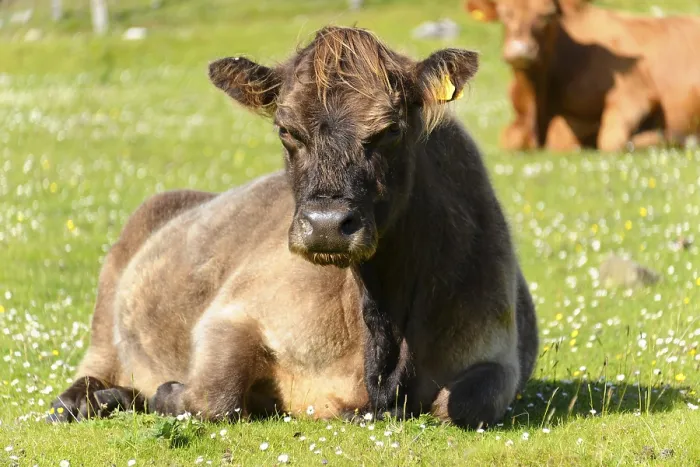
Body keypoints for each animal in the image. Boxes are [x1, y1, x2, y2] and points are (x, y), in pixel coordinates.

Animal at [48, 26, 539, 429]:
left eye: (390, 130)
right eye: (286, 130)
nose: (326, 226)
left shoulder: (499, 353)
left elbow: (462, 406)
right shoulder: (232, 312)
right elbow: (213, 397)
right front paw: (169, 392)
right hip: (108, 304)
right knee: (94, 366)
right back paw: (83, 400)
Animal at [466, 0, 700, 152]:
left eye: (547, 15)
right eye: (505, 13)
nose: (520, 50)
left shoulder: (635, 93)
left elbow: (605, 140)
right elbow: (509, 138)